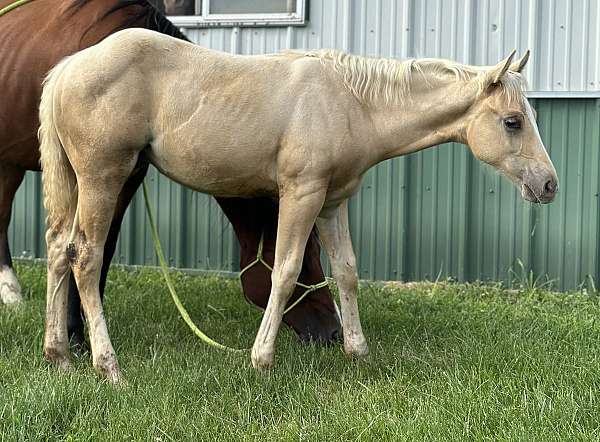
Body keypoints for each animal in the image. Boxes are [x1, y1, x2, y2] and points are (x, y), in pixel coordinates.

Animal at [0, 0, 340, 342]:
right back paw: (11, 292)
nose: (333, 330)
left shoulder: (126, 177)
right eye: (306, 261)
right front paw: (75, 334)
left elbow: (103, 248)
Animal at [39, 29, 556, 382]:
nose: (549, 185)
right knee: (86, 257)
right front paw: (261, 360)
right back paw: (109, 368)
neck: (351, 102)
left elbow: (346, 270)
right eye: (512, 121)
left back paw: (59, 355)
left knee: (59, 249)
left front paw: (357, 351)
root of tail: (68, 67)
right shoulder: (301, 194)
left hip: (77, 184)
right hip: (105, 178)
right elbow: (285, 271)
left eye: (530, 116)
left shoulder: (332, 202)